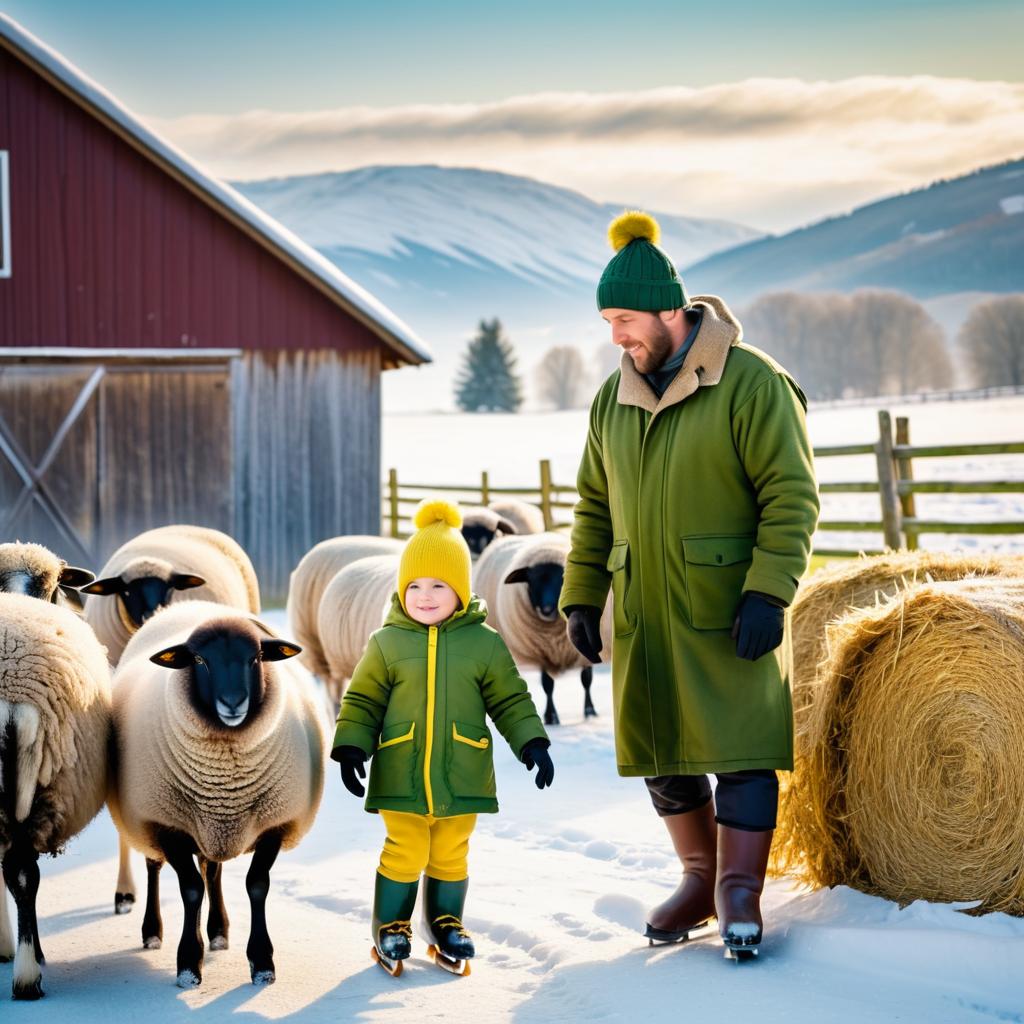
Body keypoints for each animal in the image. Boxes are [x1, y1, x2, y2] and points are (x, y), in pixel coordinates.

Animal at [109, 598, 323, 987]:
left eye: (256, 657)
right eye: (198, 660)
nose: (233, 702)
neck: (227, 771)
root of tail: (191, 604)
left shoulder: (275, 823)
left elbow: (256, 884)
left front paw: (262, 963)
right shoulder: (167, 825)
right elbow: (191, 888)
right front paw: (188, 965)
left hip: (211, 823)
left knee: (212, 868)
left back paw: (219, 932)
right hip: (148, 818)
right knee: (154, 867)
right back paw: (152, 932)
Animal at [475, 532, 610, 724]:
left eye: (563, 579)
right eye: (531, 582)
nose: (547, 609)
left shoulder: (583, 648)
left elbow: (586, 679)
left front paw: (590, 711)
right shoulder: (540, 652)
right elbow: (548, 685)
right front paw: (551, 716)